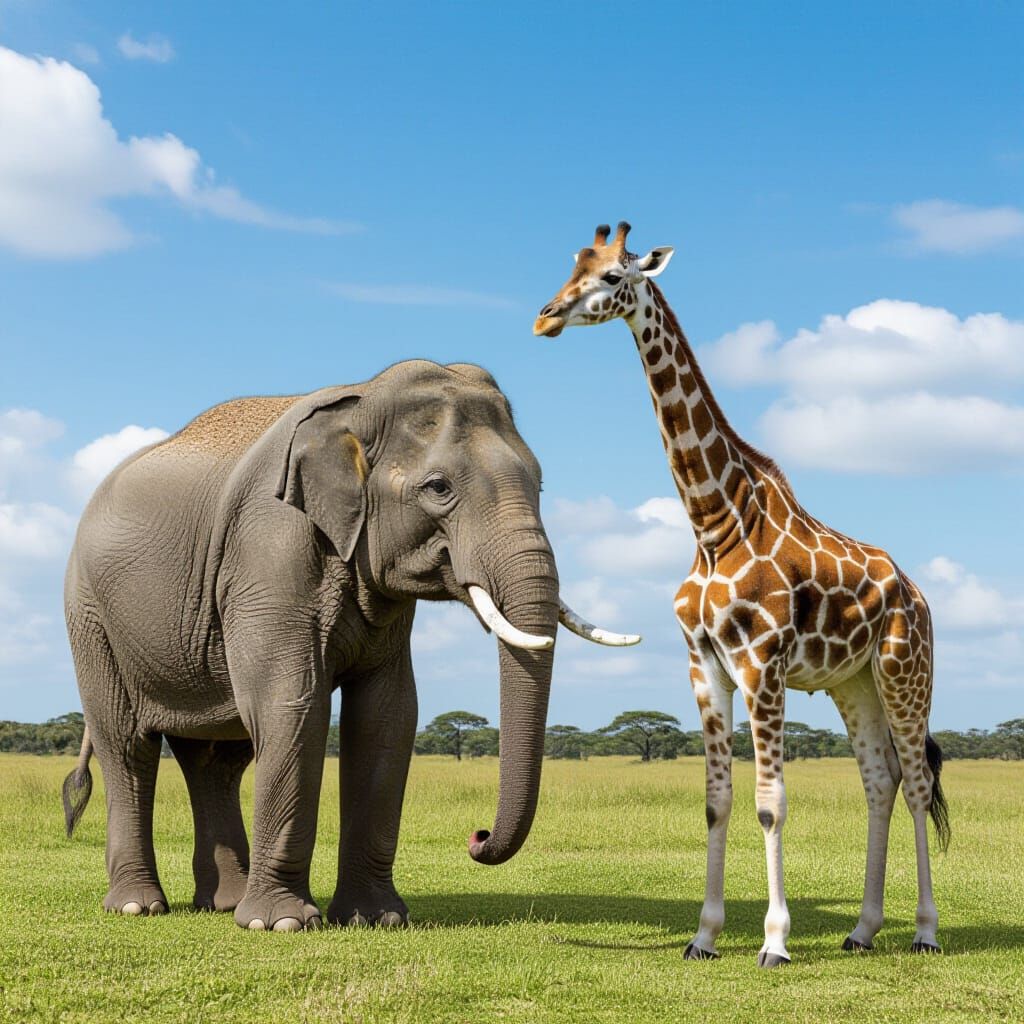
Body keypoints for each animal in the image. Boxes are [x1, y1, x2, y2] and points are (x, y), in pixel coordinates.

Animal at [61, 360, 637, 931]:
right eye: (439, 487)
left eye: (540, 483)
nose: (476, 838)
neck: (361, 405)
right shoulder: (269, 549)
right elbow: (291, 705)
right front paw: (281, 925)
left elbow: (387, 716)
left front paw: (376, 919)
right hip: (90, 615)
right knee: (127, 744)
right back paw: (139, 907)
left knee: (215, 759)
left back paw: (224, 905)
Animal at [533, 222, 949, 967]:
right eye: (572, 264)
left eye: (612, 276)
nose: (546, 316)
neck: (713, 521)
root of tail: (918, 594)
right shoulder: (704, 665)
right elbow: (718, 801)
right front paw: (703, 936)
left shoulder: (762, 664)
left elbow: (770, 802)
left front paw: (774, 942)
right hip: (853, 682)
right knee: (880, 782)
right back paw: (863, 929)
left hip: (906, 671)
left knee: (917, 783)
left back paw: (926, 931)